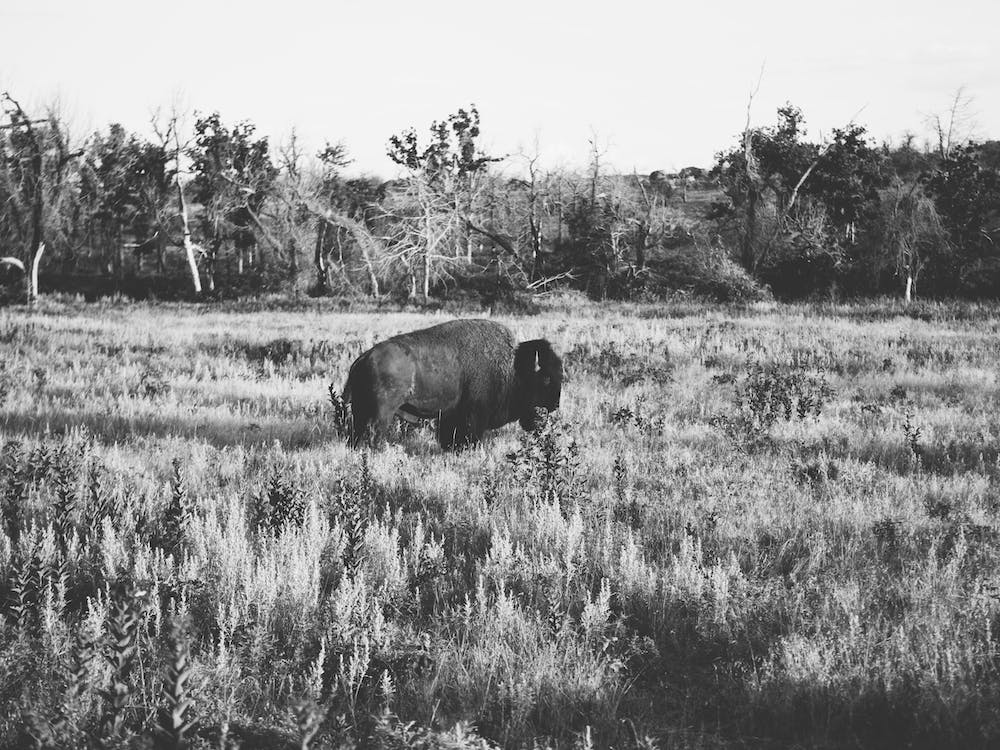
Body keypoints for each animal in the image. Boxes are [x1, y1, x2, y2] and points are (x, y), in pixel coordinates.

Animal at [342, 319, 562, 450]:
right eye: (546, 379)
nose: (555, 405)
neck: (515, 366)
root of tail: (364, 357)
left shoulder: (452, 415)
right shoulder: (474, 414)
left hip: (360, 410)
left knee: (356, 432)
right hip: (382, 412)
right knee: (375, 433)